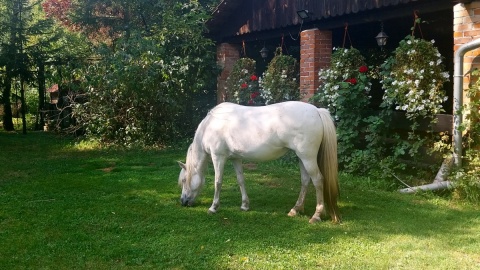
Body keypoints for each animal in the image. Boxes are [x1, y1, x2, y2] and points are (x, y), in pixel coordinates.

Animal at [178, 100, 340, 223]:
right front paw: (244, 205)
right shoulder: (235, 158)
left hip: (308, 158)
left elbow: (218, 182)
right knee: (305, 180)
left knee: (318, 180)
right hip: (302, 158)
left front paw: (213, 207)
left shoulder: (218, 157)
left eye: (184, 180)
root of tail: (317, 111)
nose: (183, 201)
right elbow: (241, 180)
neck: (210, 125)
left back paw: (316, 216)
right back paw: (296, 209)